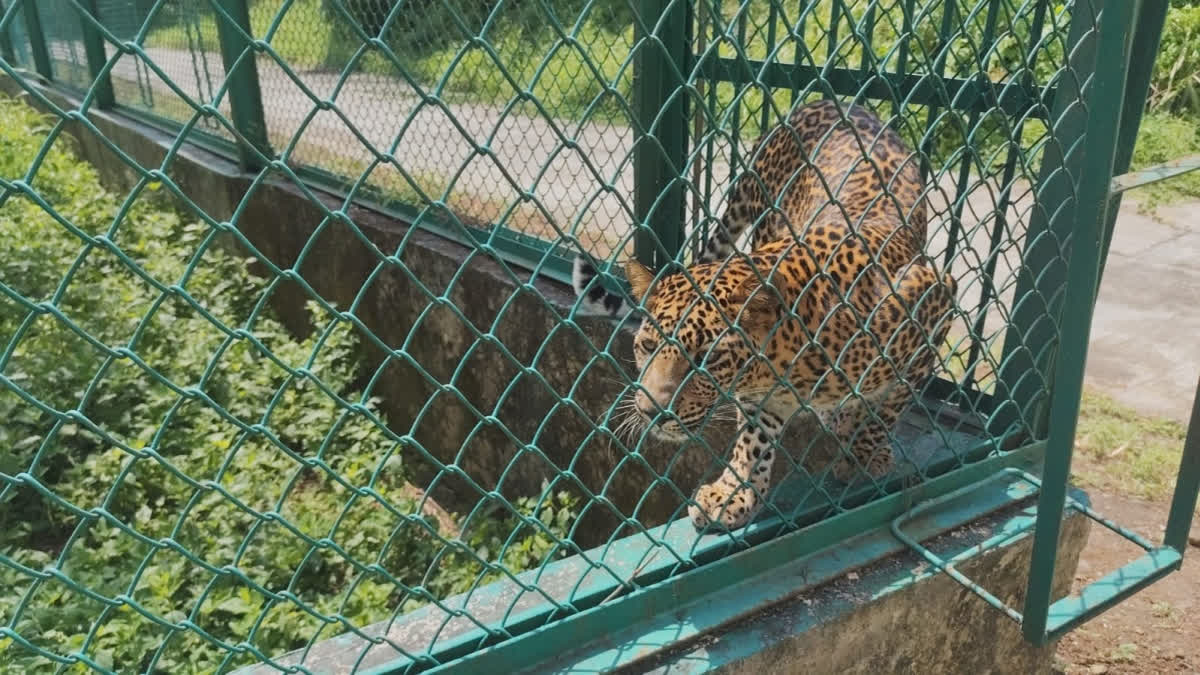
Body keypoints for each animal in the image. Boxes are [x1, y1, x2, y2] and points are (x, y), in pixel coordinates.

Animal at [573, 99, 958, 531]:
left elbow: (889, 410)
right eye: (647, 346)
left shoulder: (937, 300)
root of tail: (826, 102)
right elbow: (753, 443)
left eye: (706, 359)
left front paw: (866, 455)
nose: (650, 412)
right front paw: (732, 494)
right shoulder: (764, 397)